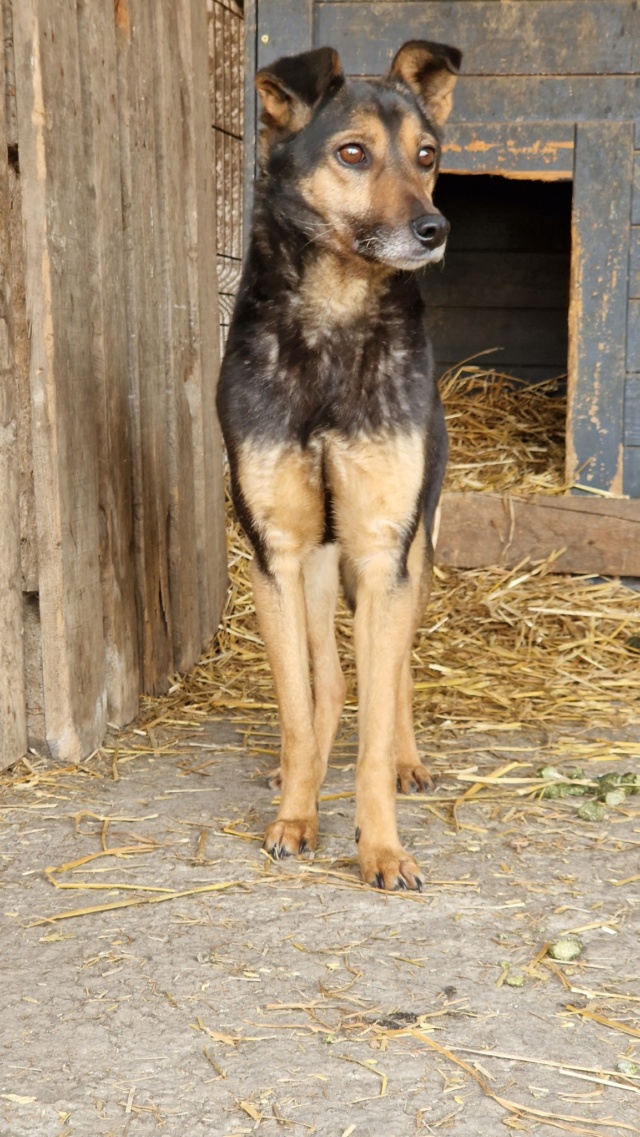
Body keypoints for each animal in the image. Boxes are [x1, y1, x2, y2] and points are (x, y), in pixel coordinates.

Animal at [218, 40, 463, 891]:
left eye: (427, 157)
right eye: (352, 154)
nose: (433, 229)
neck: (332, 325)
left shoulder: (383, 545)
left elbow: (379, 715)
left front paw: (380, 846)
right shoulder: (278, 552)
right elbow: (301, 707)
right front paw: (296, 813)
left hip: (409, 553)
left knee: (396, 673)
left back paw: (410, 760)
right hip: (323, 567)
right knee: (326, 680)